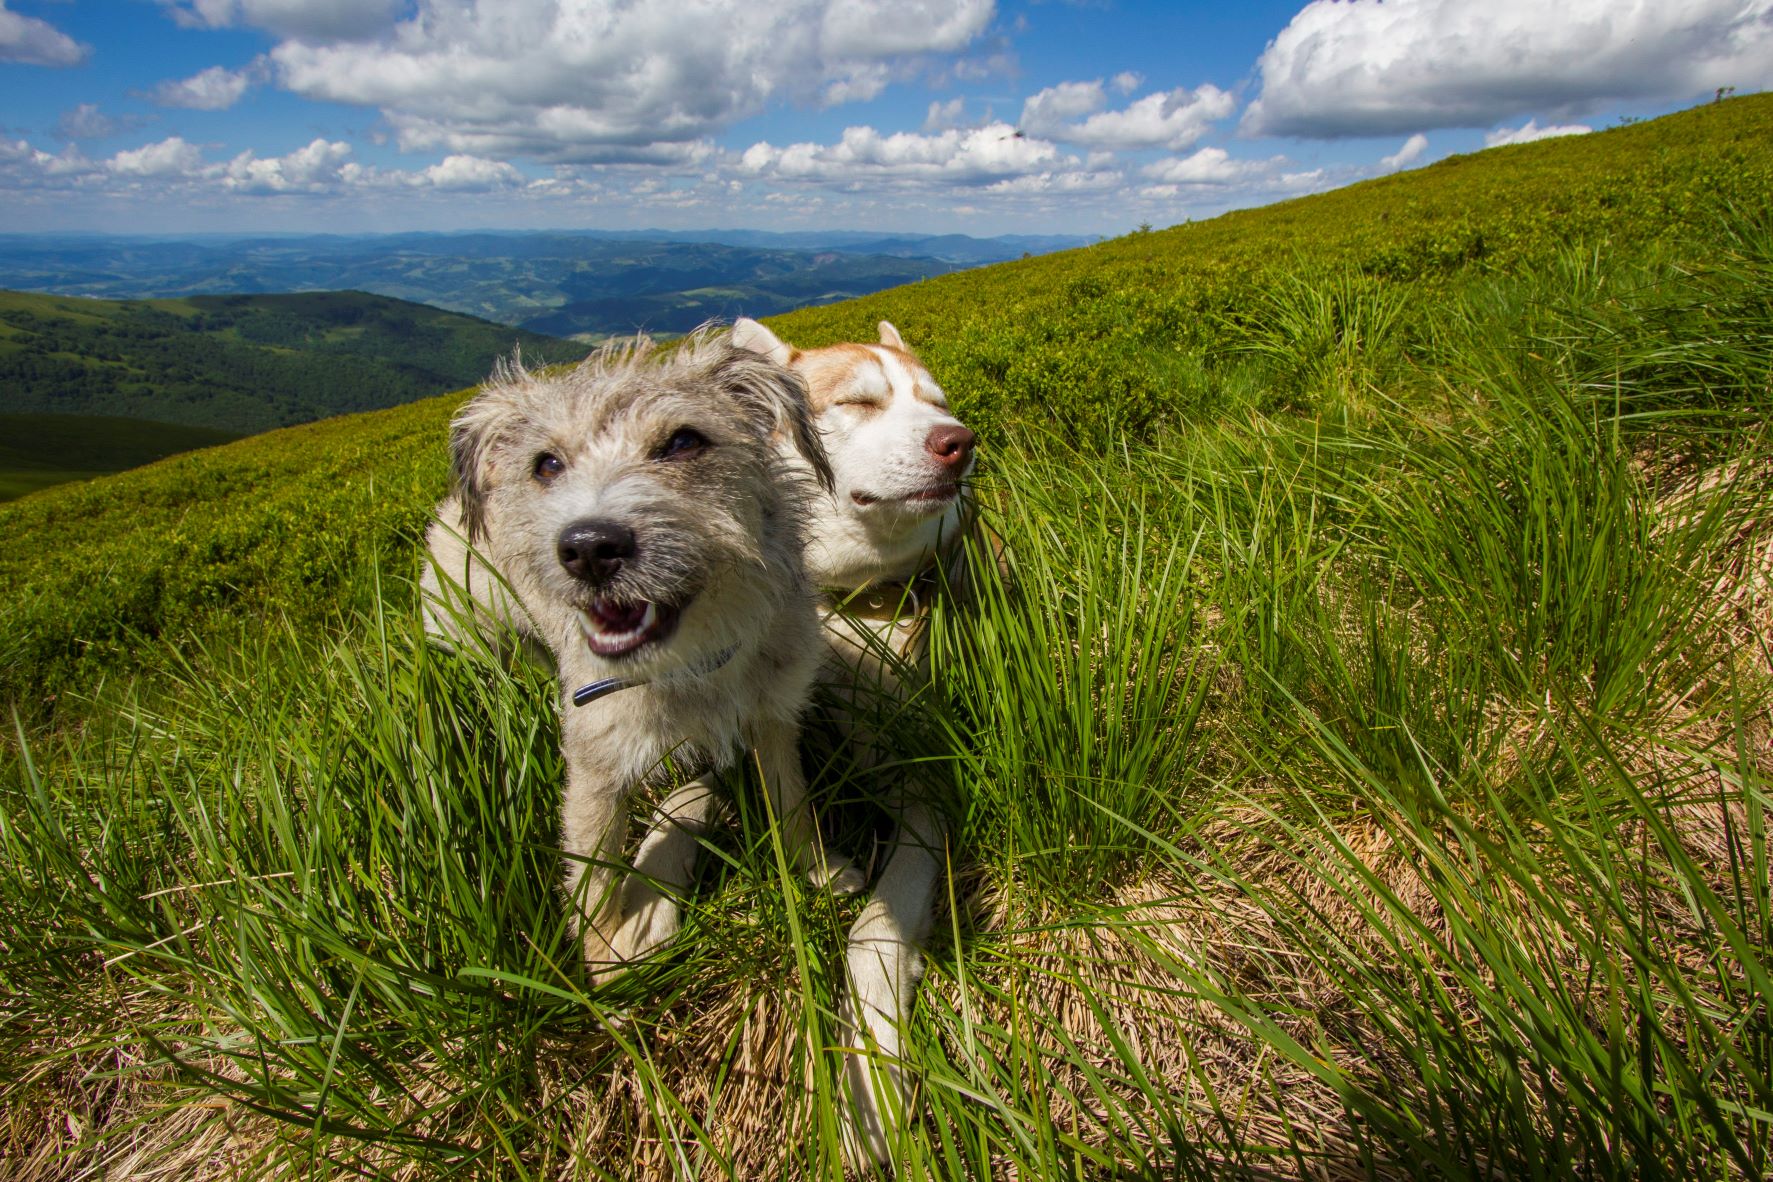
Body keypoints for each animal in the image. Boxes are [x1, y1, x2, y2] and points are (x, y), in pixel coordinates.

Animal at [416, 333, 858, 978]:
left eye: (683, 441)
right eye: (546, 464)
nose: (588, 547)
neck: (692, 661)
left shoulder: (773, 715)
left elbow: (790, 799)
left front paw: (819, 871)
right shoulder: (594, 769)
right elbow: (595, 876)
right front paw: (604, 965)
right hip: (469, 625)